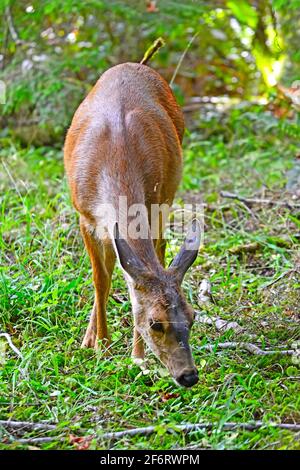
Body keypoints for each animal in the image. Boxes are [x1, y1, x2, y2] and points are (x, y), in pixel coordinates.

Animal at [65, 56, 202, 386]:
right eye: (156, 323)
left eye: (193, 317)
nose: (189, 375)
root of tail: (133, 64)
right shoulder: (84, 216)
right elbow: (101, 279)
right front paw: (101, 346)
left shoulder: (154, 205)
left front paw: (137, 357)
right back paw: (89, 338)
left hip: (166, 197)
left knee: (156, 253)